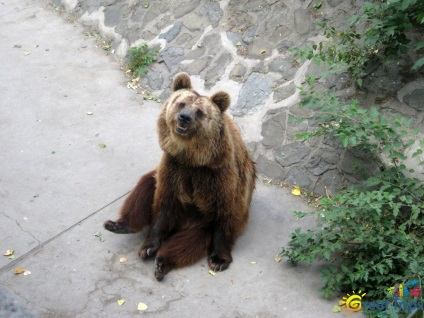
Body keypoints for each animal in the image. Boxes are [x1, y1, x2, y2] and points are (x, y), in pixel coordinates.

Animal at [104, 72, 256, 280]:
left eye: (199, 112)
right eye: (181, 103)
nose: (184, 118)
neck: (193, 158)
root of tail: (180, 225)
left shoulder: (218, 176)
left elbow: (225, 213)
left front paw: (219, 259)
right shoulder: (174, 167)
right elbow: (164, 202)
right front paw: (148, 246)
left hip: (201, 223)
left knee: (189, 242)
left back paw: (163, 261)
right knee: (144, 187)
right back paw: (120, 225)